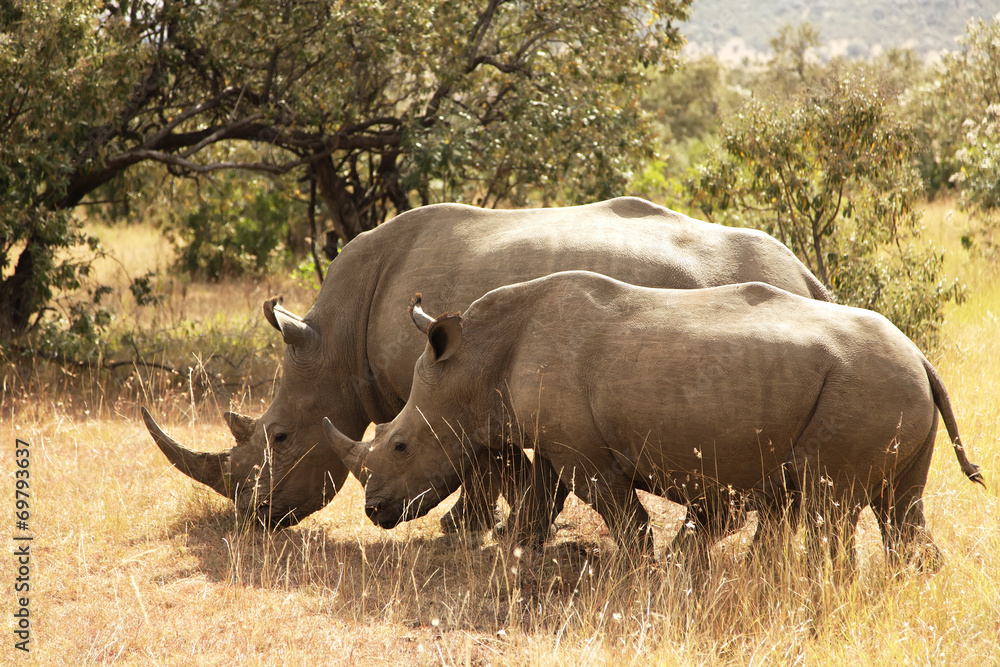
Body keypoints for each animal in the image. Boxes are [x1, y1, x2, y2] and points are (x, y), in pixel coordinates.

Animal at [142, 197, 830, 531]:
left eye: (280, 437)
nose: (252, 518)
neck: (334, 344)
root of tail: (806, 277)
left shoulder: (446, 382)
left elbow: (482, 465)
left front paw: (467, 528)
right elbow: (503, 465)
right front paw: (512, 524)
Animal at [324, 271, 984, 568]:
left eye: (401, 446)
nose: (375, 512)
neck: (476, 359)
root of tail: (922, 358)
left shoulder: (586, 452)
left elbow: (621, 513)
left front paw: (642, 570)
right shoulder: (557, 439)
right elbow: (539, 498)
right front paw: (519, 558)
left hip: (865, 387)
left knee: (830, 502)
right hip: (892, 386)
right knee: (899, 508)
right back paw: (908, 584)